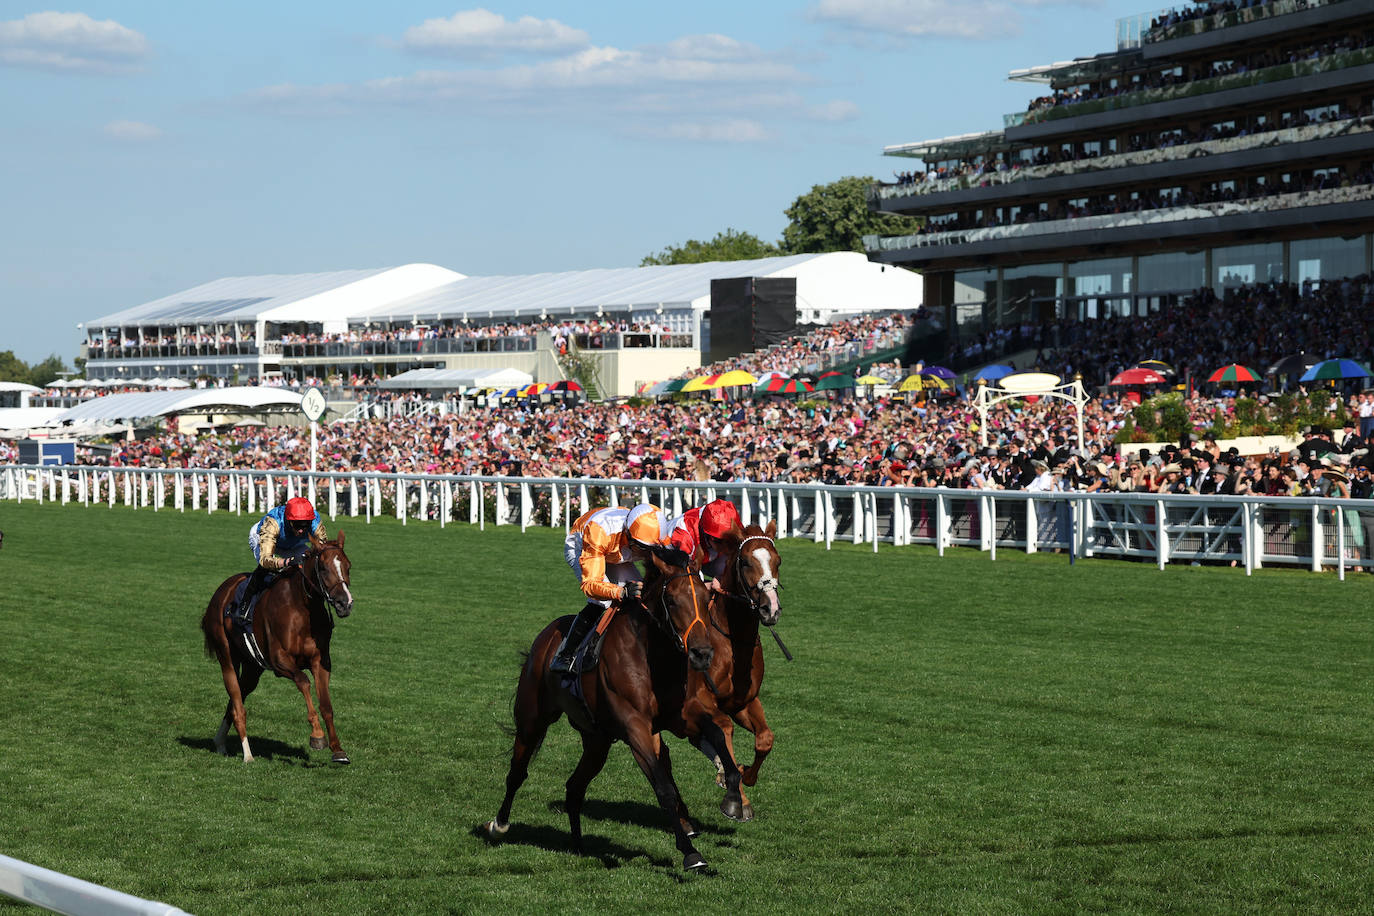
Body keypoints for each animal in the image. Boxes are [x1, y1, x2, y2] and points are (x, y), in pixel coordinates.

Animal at [201, 530, 357, 769]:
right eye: (323, 568)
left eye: (348, 566)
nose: (344, 603)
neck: (302, 608)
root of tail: (222, 589)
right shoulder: (280, 661)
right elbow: (303, 681)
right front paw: (317, 735)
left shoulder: (321, 661)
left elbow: (327, 705)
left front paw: (338, 750)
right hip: (227, 658)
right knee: (238, 704)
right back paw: (247, 754)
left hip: (252, 668)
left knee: (236, 700)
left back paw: (220, 742)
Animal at [483, 543, 741, 873]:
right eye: (672, 600)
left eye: (707, 599)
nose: (702, 654)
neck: (651, 655)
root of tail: (545, 637)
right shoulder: (635, 727)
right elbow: (664, 789)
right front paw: (690, 852)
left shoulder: (680, 716)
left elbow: (718, 736)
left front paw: (733, 798)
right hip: (532, 720)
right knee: (517, 772)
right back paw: (499, 824)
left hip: (597, 740)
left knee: (574, 787)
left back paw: (578, 846)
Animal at [687, 519, 785, 818]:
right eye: (745, 562)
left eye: (778, 560)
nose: (770, 609)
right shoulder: (703, 700)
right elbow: (724, 731)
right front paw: (737, 799)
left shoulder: (743, 701)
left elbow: (765, 738)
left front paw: (744, 774)